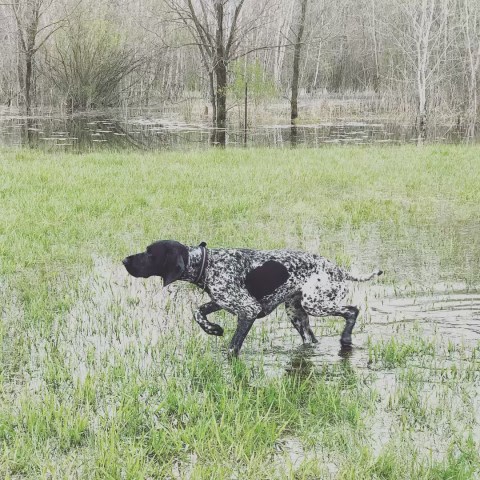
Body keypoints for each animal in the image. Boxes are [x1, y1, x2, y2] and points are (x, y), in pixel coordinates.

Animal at [123, 240, 382, 356]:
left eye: (150, 253)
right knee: (311, 338)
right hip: (297, 313)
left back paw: (346, 339)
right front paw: (213, 328)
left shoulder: (248, 310)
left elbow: (232, 347)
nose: (124, 260)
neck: (206, 264)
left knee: (352, 310)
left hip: (316, 304)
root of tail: (339, 269)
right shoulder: (220, 301)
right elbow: (197, 312)